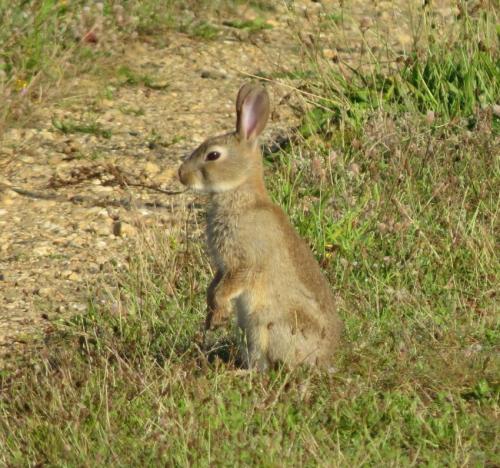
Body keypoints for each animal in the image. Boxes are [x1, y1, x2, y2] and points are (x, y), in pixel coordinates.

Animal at [178, 83, 342, 370]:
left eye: (213, 155)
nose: (181, 175)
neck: (240, 196)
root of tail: (322, 359)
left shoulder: (245, 262)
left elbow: (230, 285)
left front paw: (218, 314)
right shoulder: (223, 266)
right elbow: (215, 285)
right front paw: (211, 316)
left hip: (266, 326)